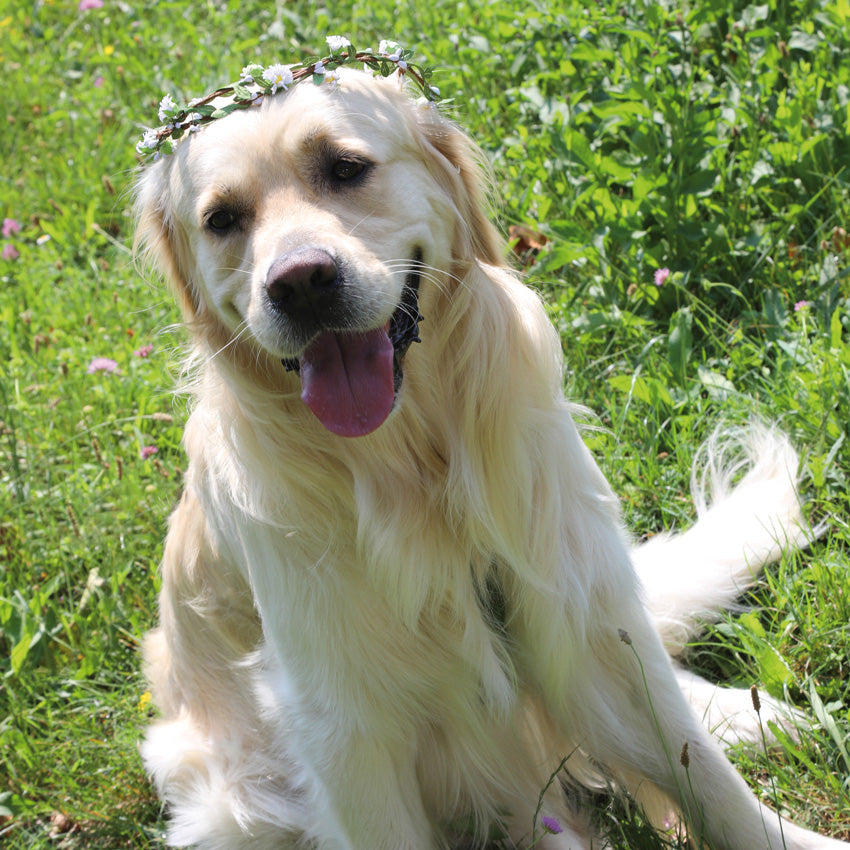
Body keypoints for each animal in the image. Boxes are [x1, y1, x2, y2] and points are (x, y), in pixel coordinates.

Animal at [134, 63, 840, 844]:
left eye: (345, 168)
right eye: (223, 219)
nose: (300, 281)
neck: (408, 459)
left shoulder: (572, 598)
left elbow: (706, 777)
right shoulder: (343, 725)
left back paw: (751, 716)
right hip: (238, 799)